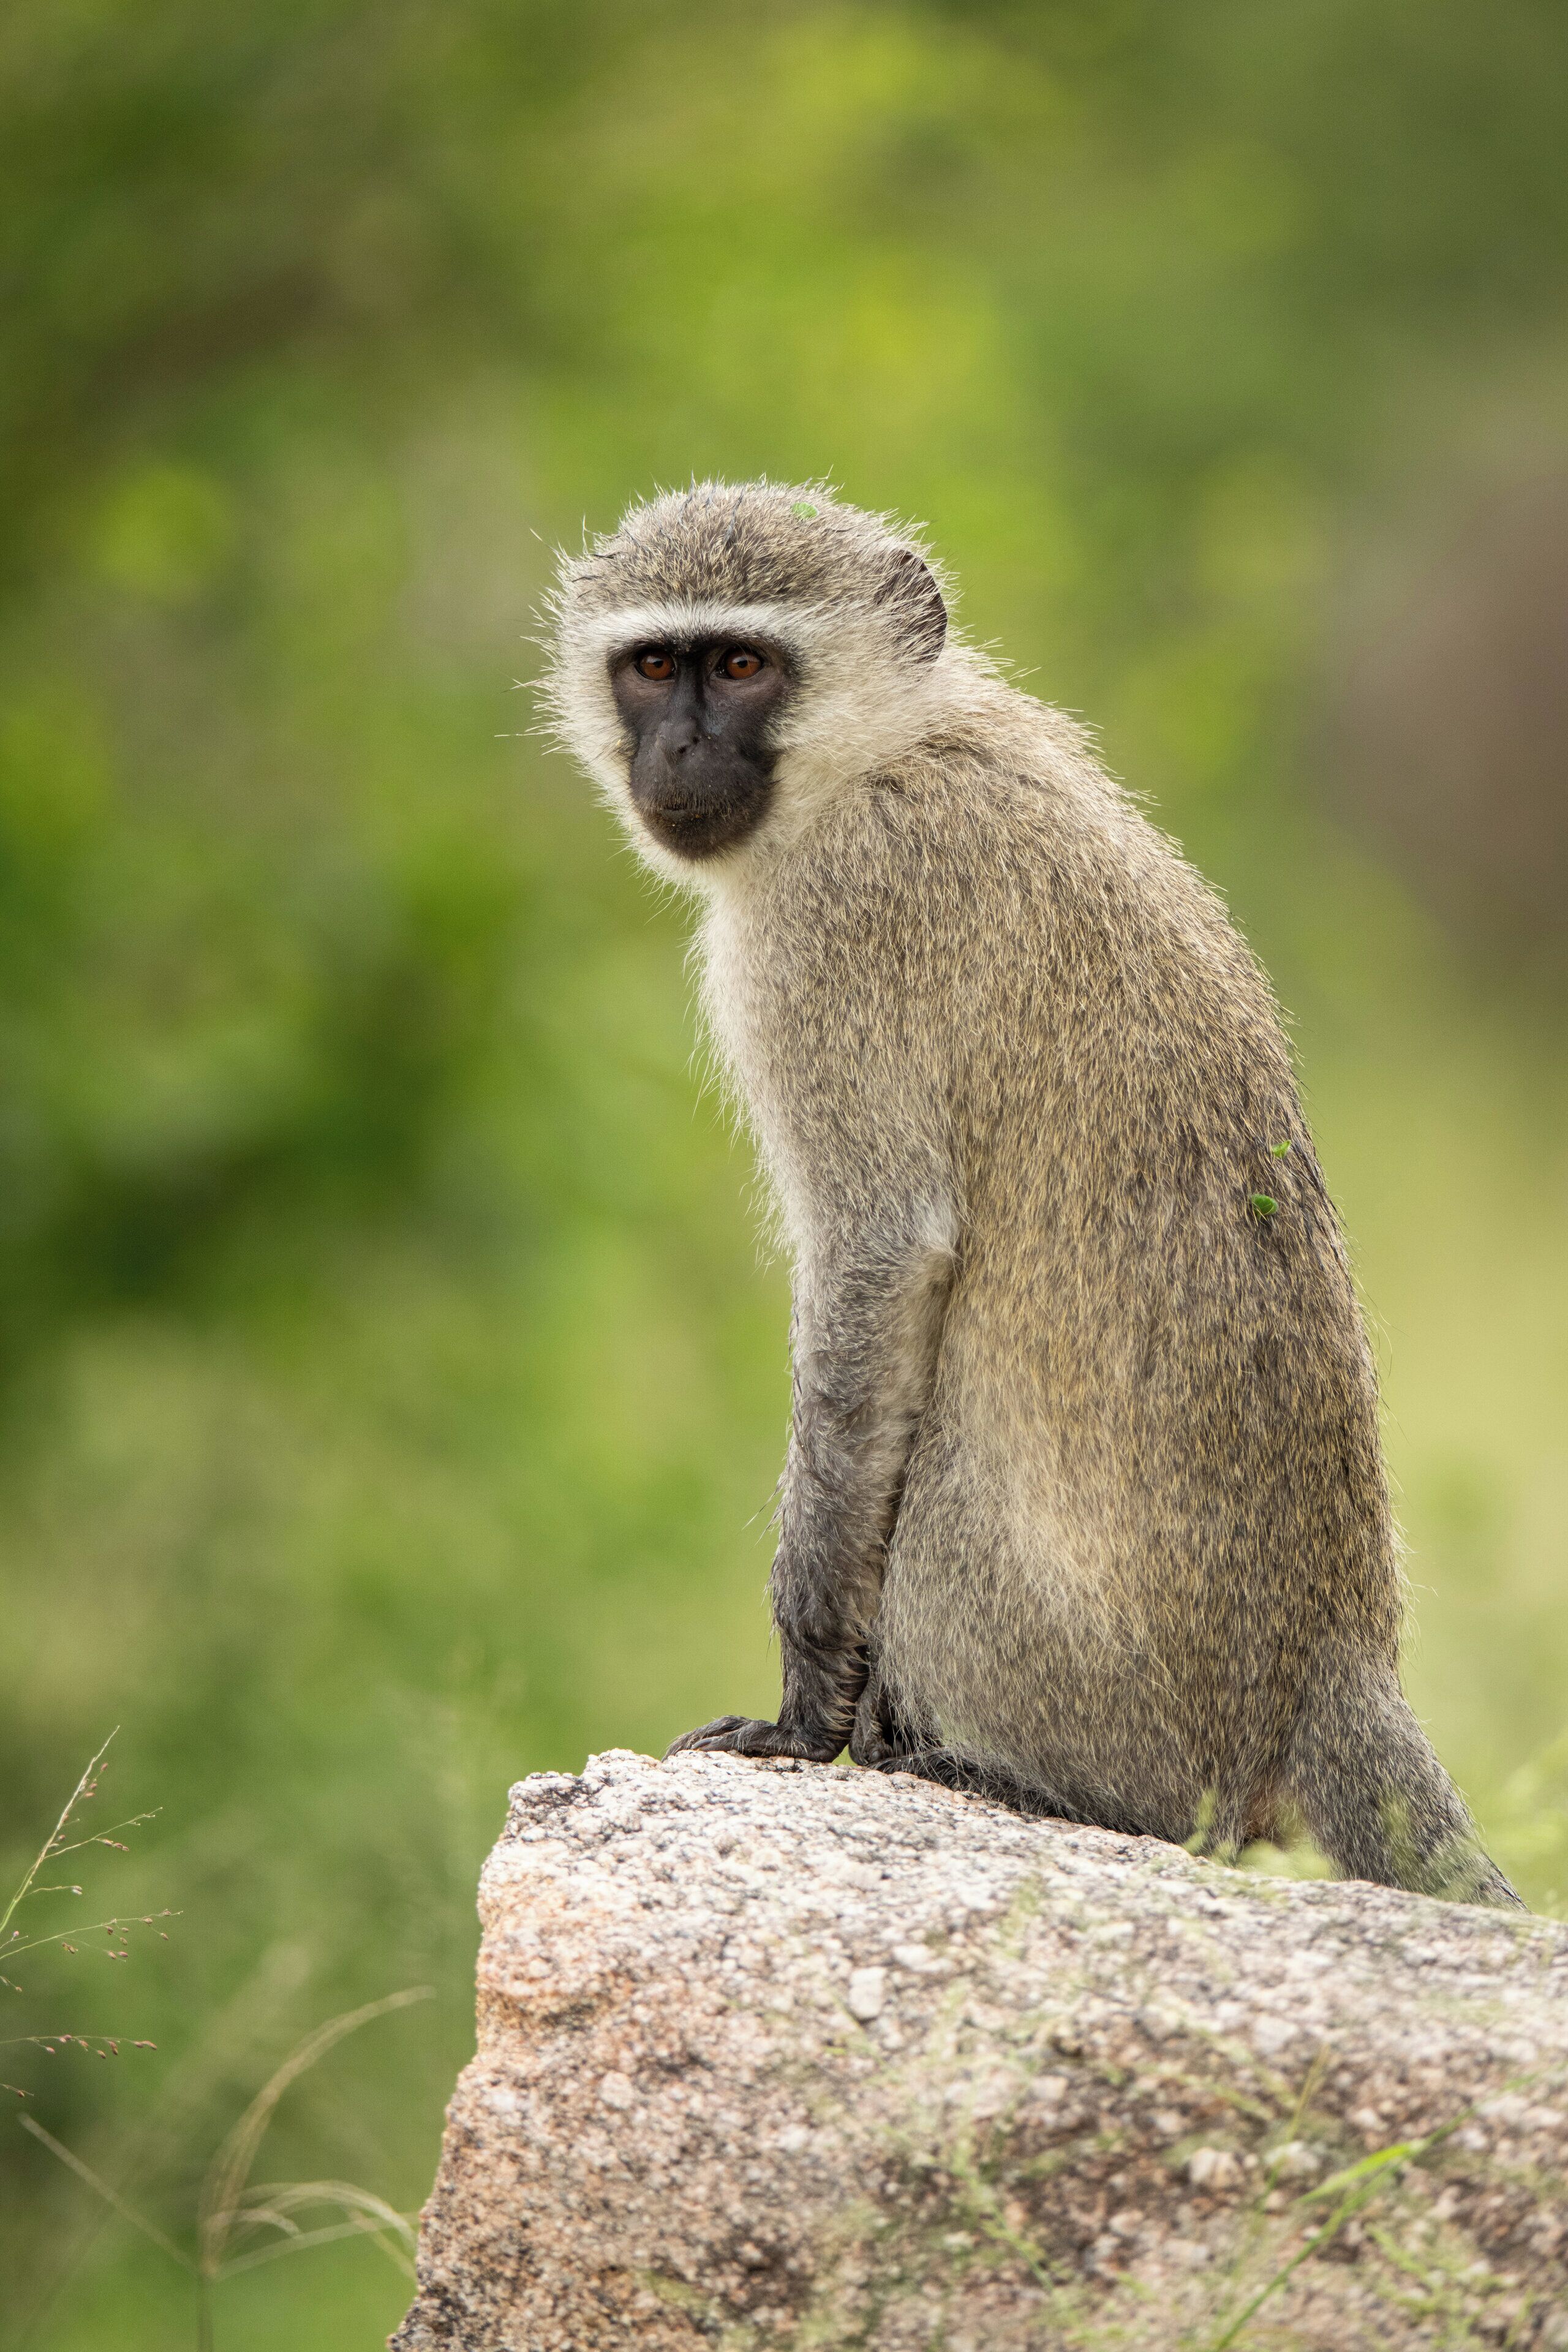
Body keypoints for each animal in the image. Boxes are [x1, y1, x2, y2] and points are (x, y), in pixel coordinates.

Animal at [543, 479, 1520, 1908]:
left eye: (742, 667)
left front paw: (805, 1704)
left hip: (1105, 1687)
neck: (891, 748)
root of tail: (1323, 1674)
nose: (672, 756)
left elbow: (884, 1256)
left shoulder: (832, 928)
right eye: (654, 667)